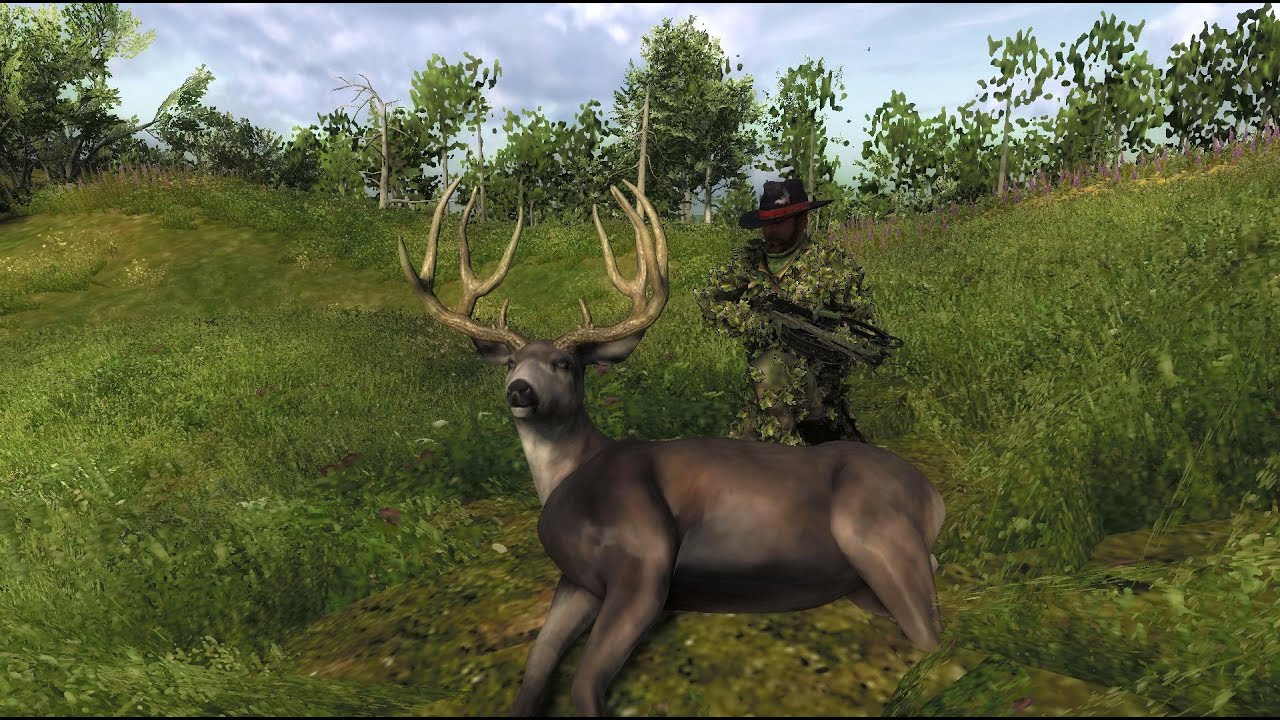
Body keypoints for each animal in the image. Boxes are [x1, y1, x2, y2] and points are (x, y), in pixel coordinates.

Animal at [397, 177, 947, 717]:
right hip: (861, 580)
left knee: (933, 635)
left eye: (565, 364)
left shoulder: (647, 560)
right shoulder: (575, 581)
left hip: (873, 529)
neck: (571, 475)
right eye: (511, 363)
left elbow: (584, 688)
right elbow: (533, 677)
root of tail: (933, 494)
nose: (520, 391)